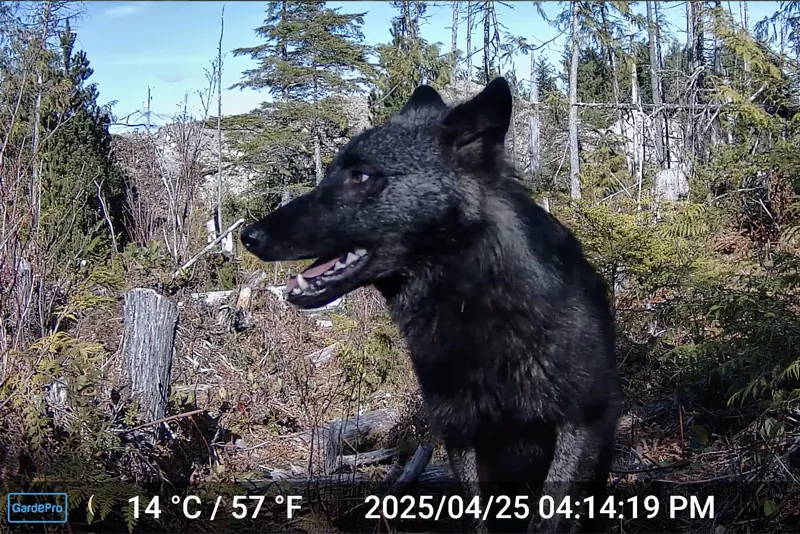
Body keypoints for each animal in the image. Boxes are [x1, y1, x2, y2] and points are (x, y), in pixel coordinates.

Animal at [240, 77, 622, 534]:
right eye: (329, 173)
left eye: (360, 176)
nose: (248, 235)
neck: (473, 306)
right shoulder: (462, 436)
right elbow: (477, 521)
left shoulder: (576, 424)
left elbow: (548, 519)